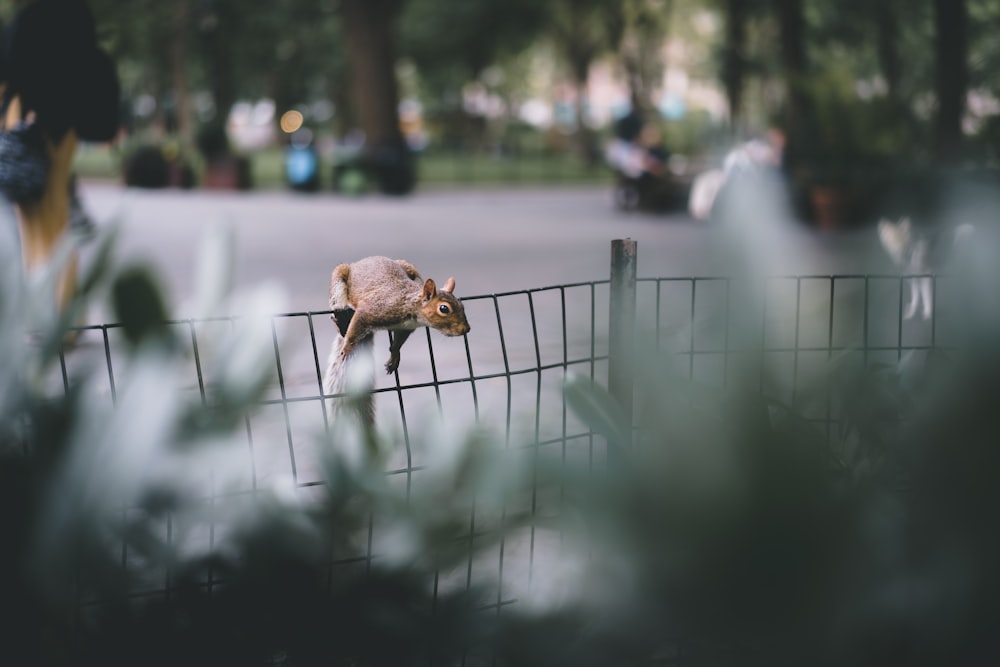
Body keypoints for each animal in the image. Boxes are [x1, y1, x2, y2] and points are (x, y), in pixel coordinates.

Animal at [326, 258, 470, 376]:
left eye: (462, 305)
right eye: (444, 308)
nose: (466, 329)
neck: (409, 305)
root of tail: (359, 262)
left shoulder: (405, 328)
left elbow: (397, 344)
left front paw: (394, 356)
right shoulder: (369, 311)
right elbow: (354, 332)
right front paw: (346, 350)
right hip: (340, 277)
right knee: (338, 305)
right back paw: (341, 319)